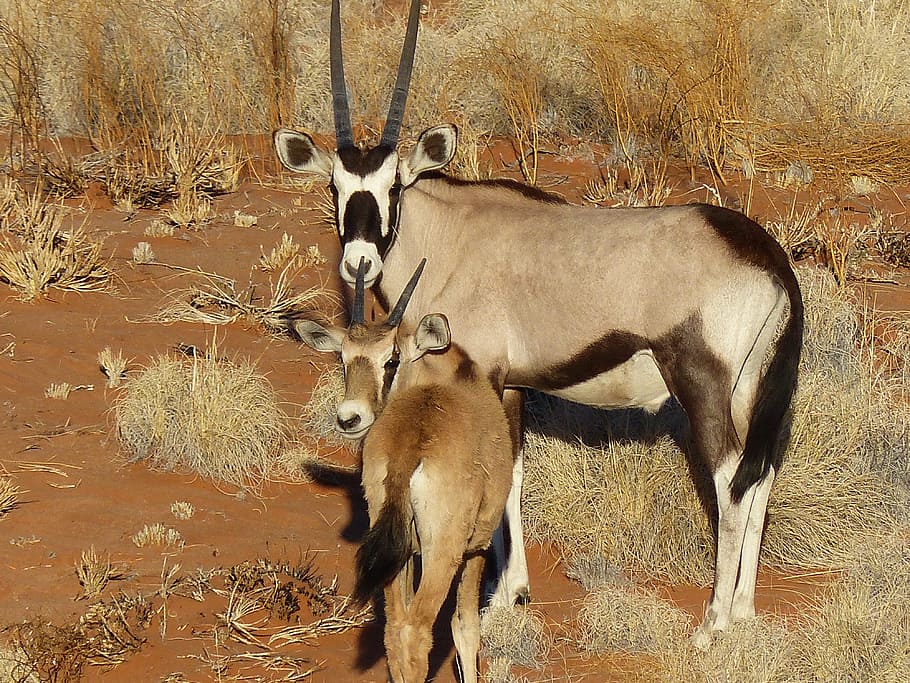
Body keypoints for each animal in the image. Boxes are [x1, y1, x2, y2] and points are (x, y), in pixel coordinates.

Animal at [296, 260, 513, 683]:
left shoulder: (405, 551)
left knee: (395, 630)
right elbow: (465, 628)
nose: (349, 419)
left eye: (391, 359)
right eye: (343, 359)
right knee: (416, 631)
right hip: (442, 550)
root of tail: (414, 439)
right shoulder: (475, 548)